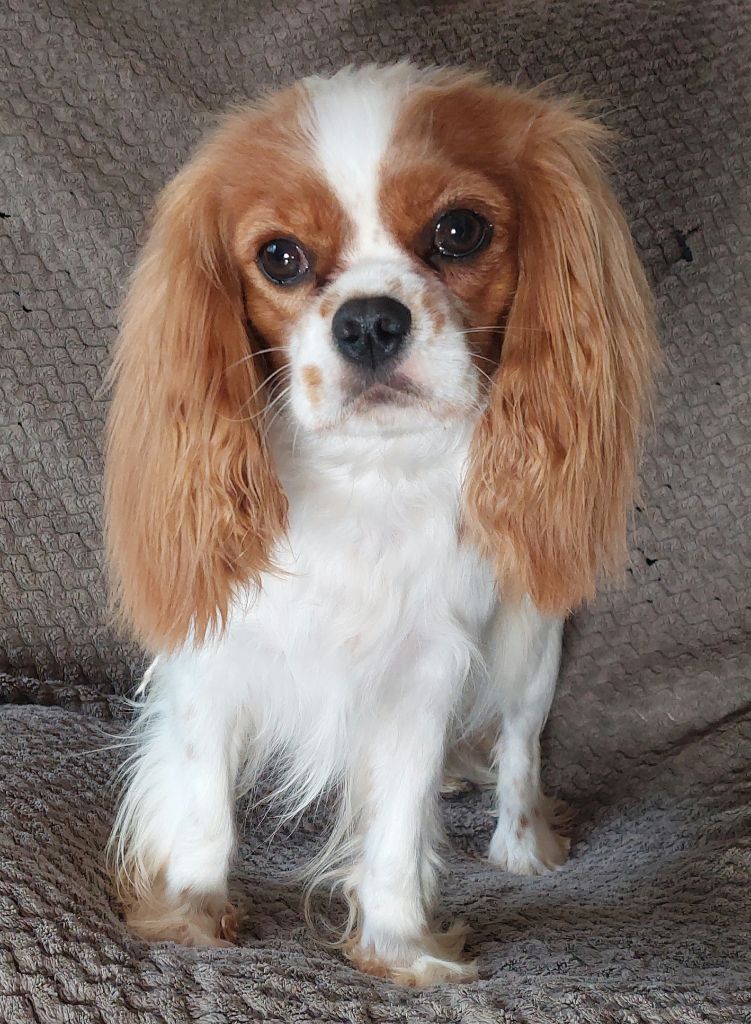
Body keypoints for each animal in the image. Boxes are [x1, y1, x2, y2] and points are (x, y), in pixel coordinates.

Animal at [105, 62, 657, 987]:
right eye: (279, 256)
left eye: (459, 230)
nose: (367, 319)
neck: (366, 477)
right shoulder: (212, 660)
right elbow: (204, 804)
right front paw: (191, 914)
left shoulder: (421, 674)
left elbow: (398, 824)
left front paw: (401, 947)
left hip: (528, 647)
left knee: (519, 743)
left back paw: (521, 846)